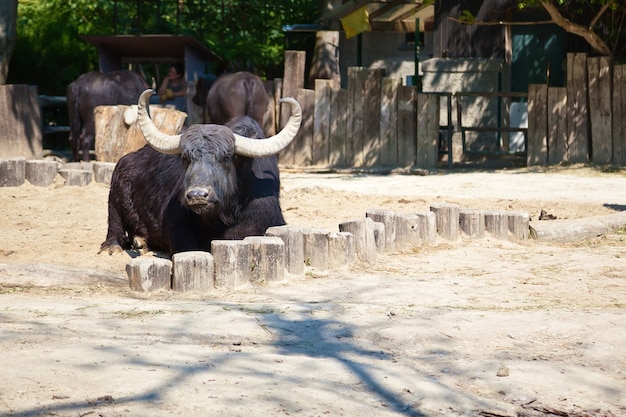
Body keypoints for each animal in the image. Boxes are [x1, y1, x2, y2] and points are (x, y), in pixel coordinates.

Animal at [98, 89, 302, 255]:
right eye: (186, 158)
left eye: (227, 157)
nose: (197, 195)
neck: (223, 216)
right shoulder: (178, 228)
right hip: (115, 189)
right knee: (114, 222)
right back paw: (115, 246)